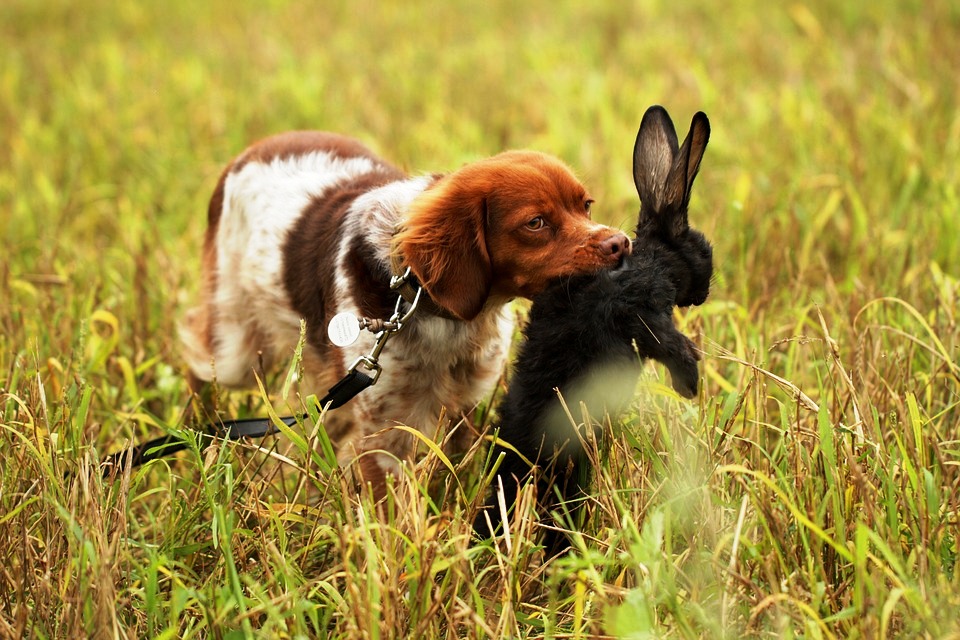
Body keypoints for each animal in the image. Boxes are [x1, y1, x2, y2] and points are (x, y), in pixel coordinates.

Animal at [474, 106, 713, 552]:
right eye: (703, 252)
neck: (654, 260)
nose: (704, 292)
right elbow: (668, 341)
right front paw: (689, 384)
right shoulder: (641, 312)